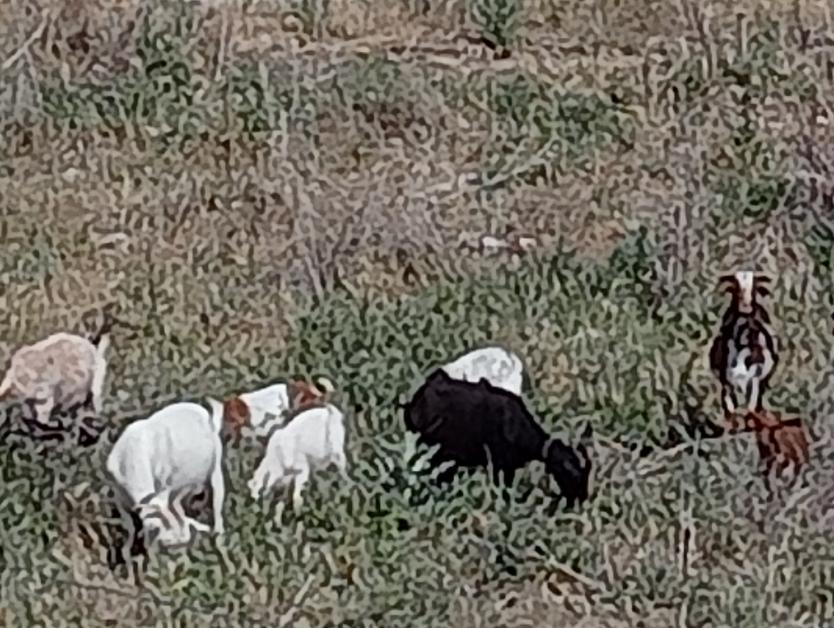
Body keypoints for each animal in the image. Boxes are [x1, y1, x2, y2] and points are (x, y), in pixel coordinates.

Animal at [105, 399, 226, 551]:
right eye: (169, 540)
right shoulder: (119, 492)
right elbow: (129, 523)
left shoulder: (164, 485)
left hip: (215, 463)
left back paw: (218, 534)